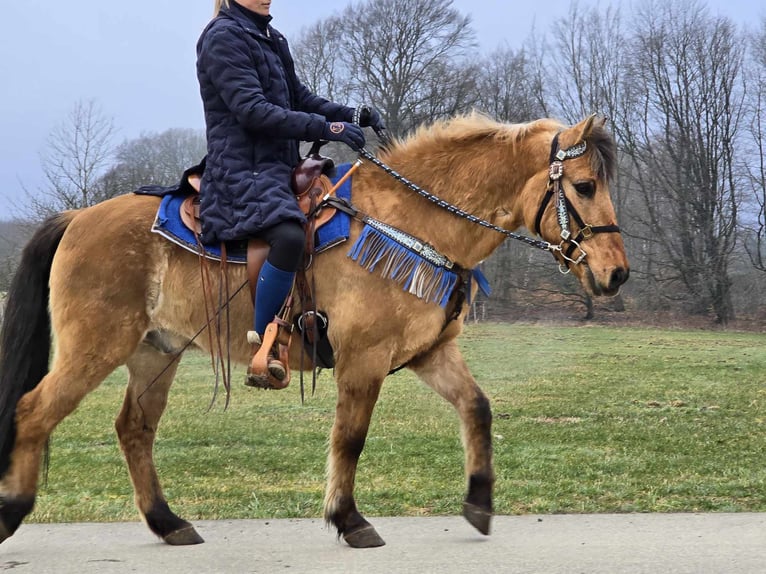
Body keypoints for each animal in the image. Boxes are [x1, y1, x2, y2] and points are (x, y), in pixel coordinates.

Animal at [0, 112, 632, 548]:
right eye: (583, 186)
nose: (616, 273)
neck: (410, 221)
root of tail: (78, 218)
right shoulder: (363, 360)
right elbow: (350, 438)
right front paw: (348, 519)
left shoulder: (429, 353)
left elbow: (476, 408)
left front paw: (478, 503)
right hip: (95, 347)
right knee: (33, 411)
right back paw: (13, 509)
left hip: (156, 353)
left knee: (134, 429)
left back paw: (168, 522)